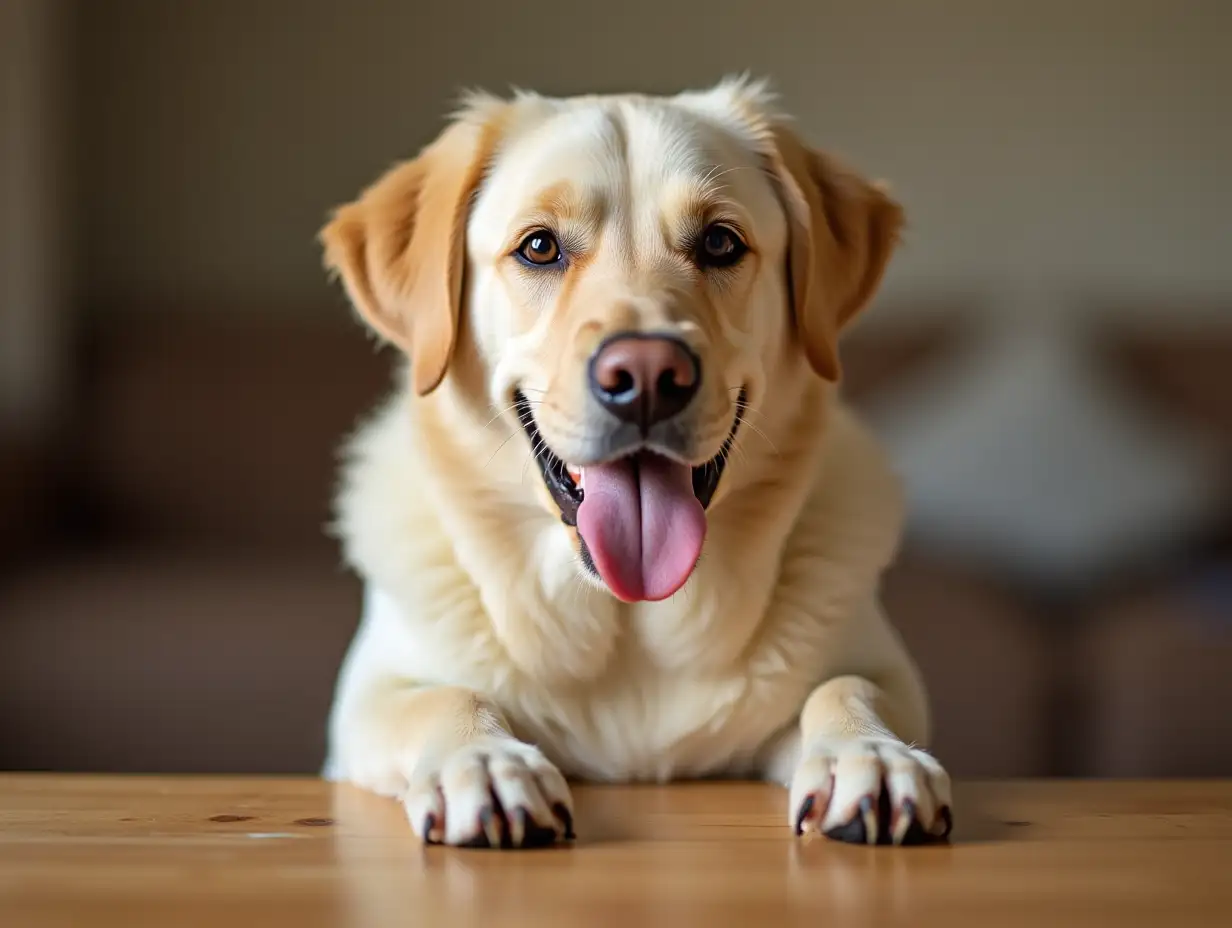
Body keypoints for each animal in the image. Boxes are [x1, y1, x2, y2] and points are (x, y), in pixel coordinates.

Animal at [317, 77, 951, 847]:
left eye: (719, 241)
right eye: (539, 247)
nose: (647, 376)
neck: (628, 624)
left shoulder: (881, 672)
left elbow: (845, 686)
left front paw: (873, 754)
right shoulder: (367, 701)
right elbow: (443, 696)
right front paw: (485, 762)